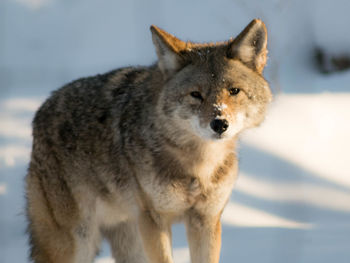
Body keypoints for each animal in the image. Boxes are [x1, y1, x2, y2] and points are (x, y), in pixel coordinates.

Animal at [26, 19, 272, 263]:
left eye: (234, 91)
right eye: (195, 95)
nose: (219, 123)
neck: (198, 165)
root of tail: (40, 111)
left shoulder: (205, 220)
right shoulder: (154, 219)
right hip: (77, 242)